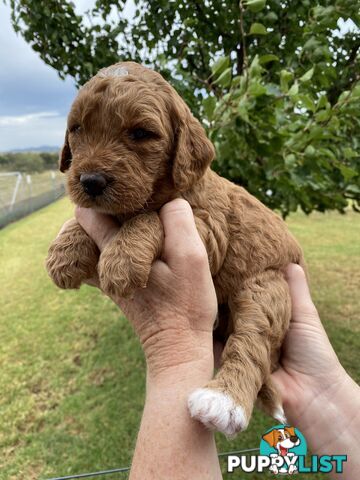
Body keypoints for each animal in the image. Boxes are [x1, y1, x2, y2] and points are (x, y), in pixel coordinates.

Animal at [46, 61, 306, 438]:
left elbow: (150, 217)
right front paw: (64, 252)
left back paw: (223, 401)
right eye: (77, 129)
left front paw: (122, 259)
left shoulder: (208, 227)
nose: (90, 181)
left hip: (267, 287)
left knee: (253, 340)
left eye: (141, 133)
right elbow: (89, 217)